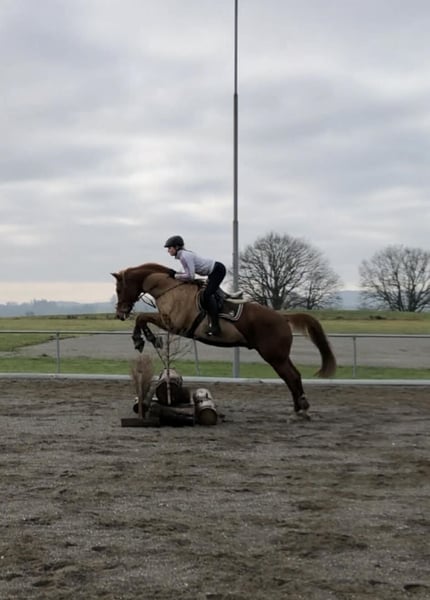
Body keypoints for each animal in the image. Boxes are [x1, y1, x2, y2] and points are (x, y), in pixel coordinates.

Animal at [112, 262, 336, 417]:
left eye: (119, 289)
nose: (119, 314)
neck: (168, 287)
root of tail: (283, 317)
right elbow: (143, 319)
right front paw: (147, 339)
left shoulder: (173, 324)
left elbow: (142, 317)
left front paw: (141, 340)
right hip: (279, 356)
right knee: (294, 376)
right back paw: (299, 407)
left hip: (274, 356)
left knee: (290, 377)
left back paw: (302, 408)